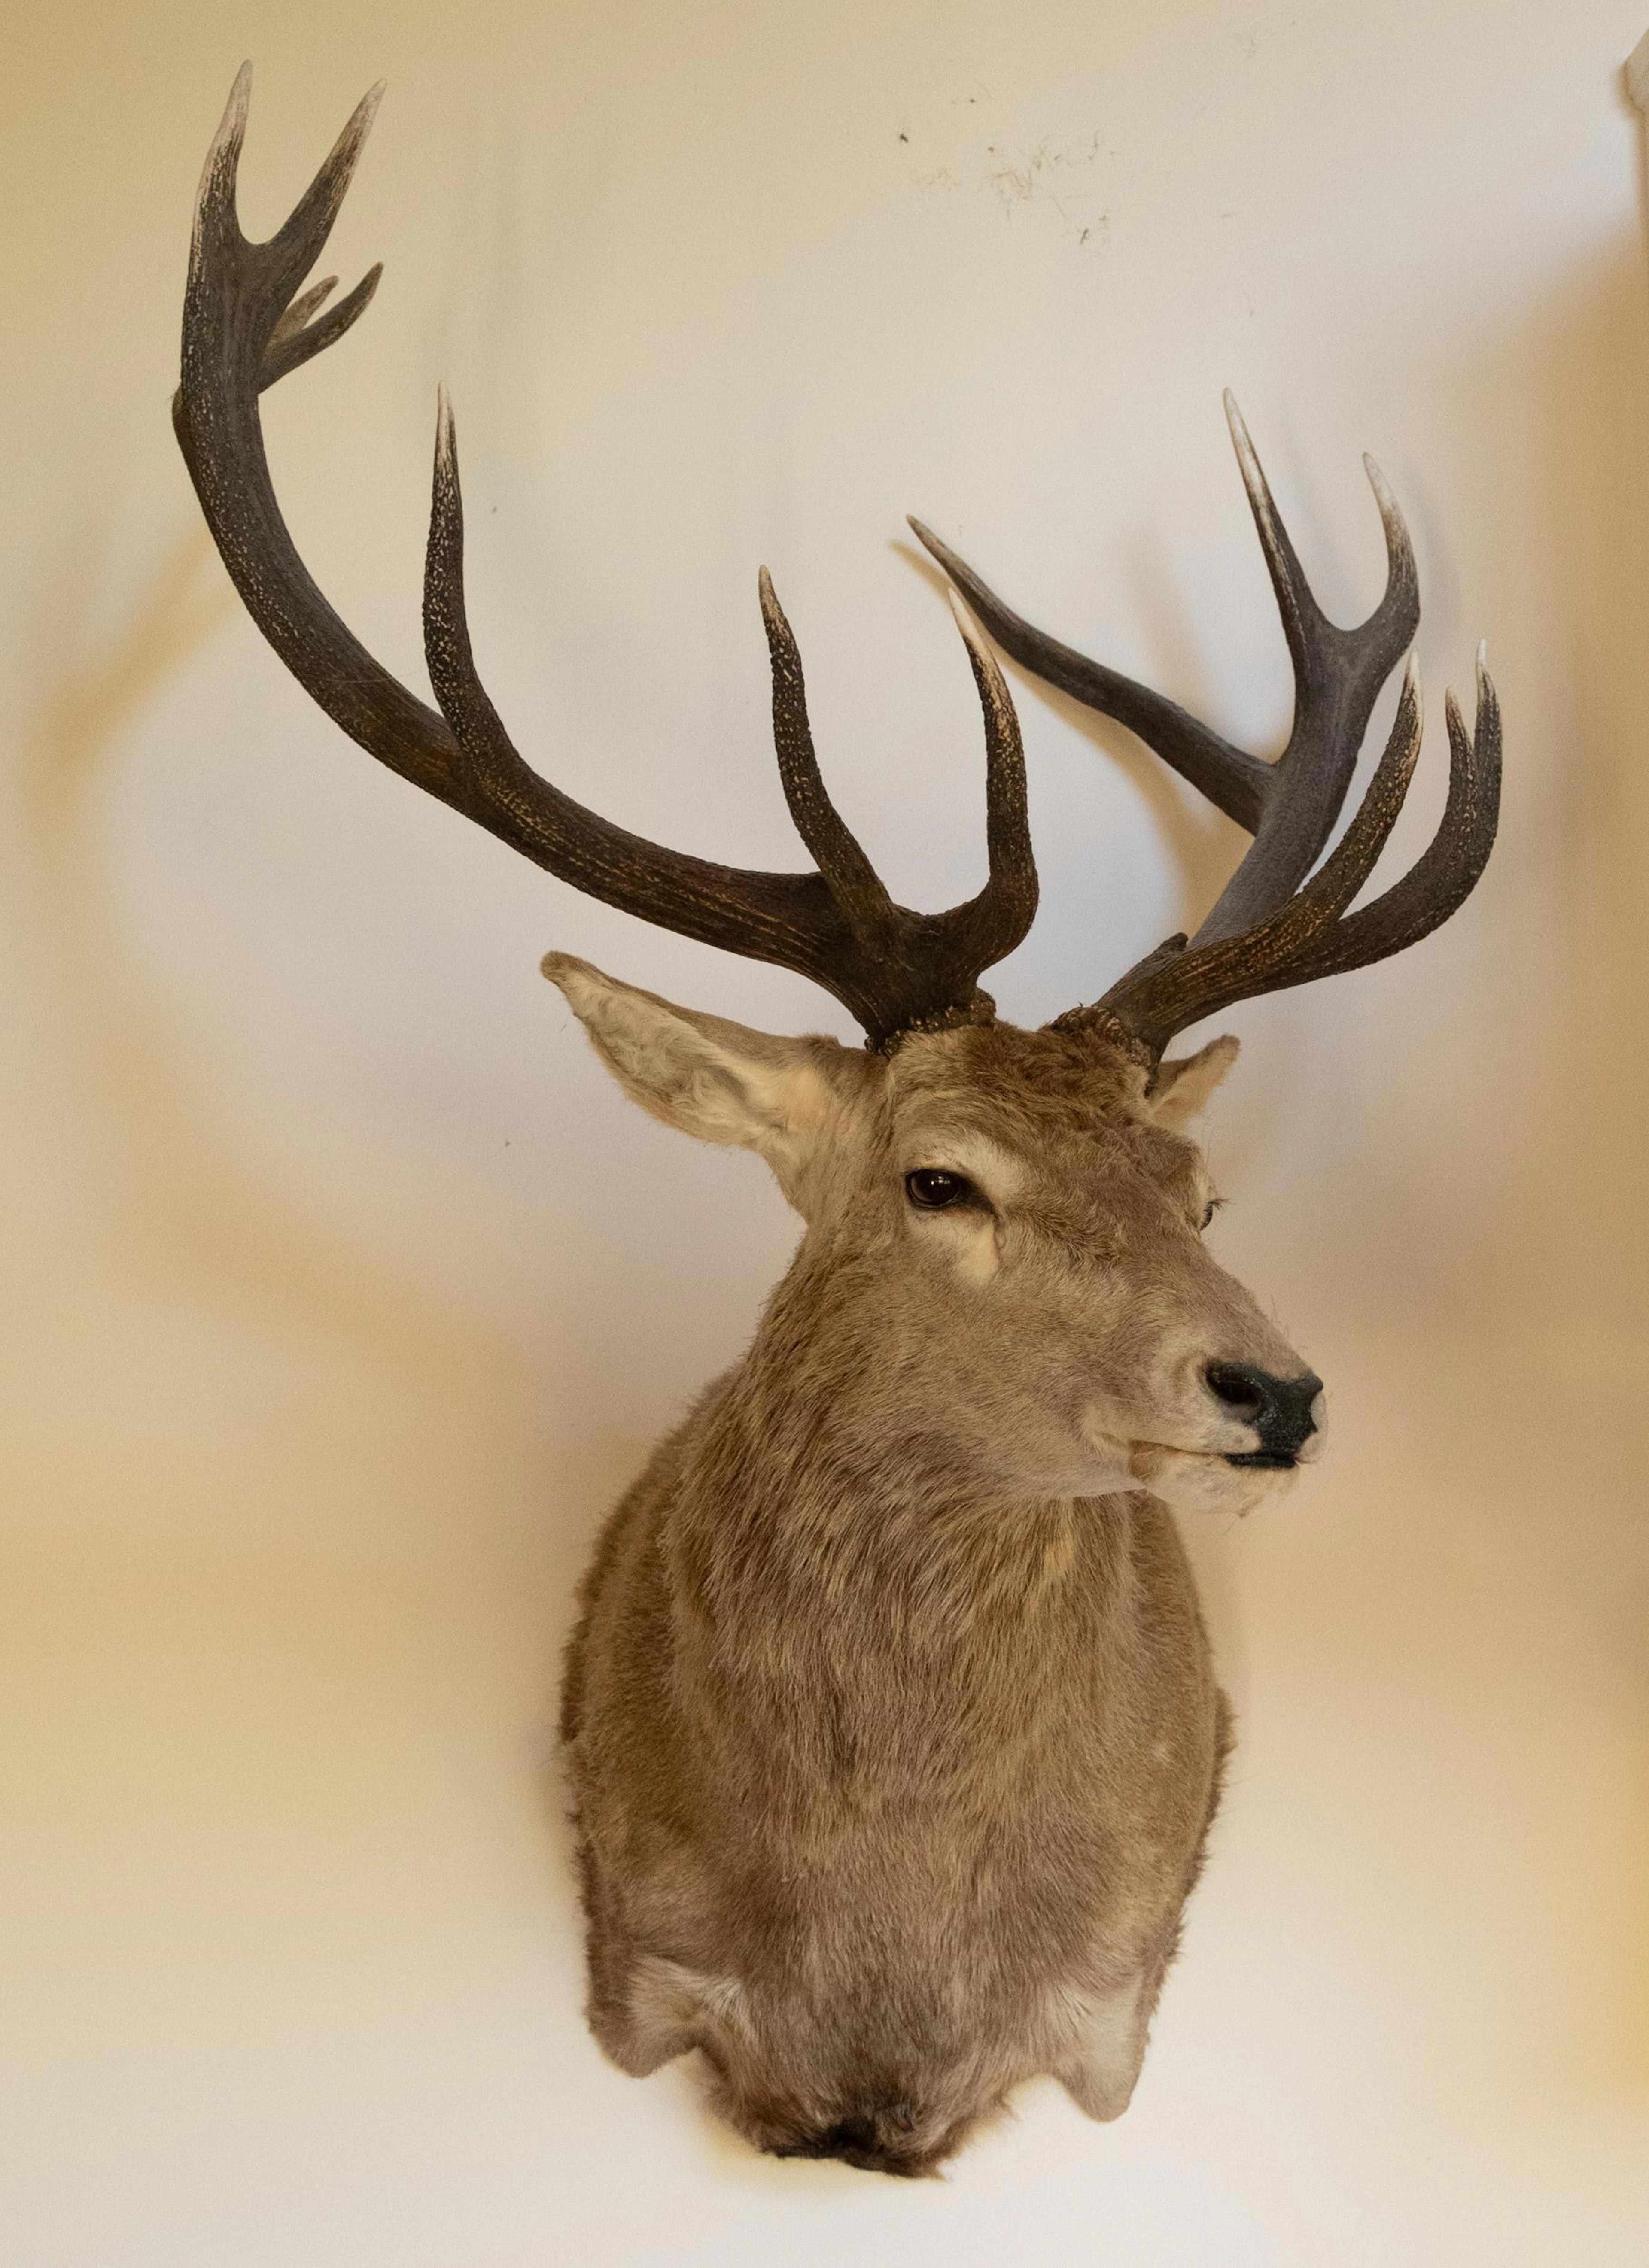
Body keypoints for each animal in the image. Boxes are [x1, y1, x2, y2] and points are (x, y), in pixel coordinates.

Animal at [174, 72, 1501, 2177]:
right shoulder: (647, 1969)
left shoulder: (1107, 2016)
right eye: (937, 1176)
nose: (1275, 1392)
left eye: (1197, 1183)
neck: (887, 1981)